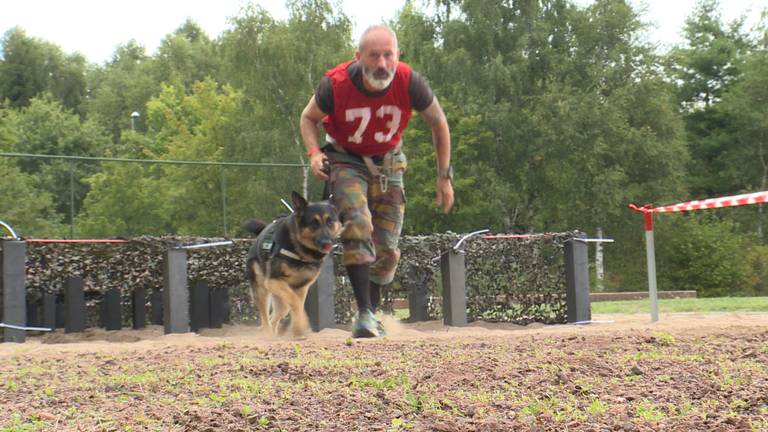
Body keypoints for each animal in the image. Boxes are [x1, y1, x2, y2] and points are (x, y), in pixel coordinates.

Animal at [244, 192, 340, 338]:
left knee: (274, 317)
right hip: (262, 290)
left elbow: (298, 305)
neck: (300, 252)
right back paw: (268, 336)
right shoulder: (273, 281)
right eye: (314, 223)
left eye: (330, 221)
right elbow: (296, 304)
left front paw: (298, 332)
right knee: (266, 318)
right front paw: (302, 326)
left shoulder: (302, 288)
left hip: (280, 302)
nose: (327, 242)